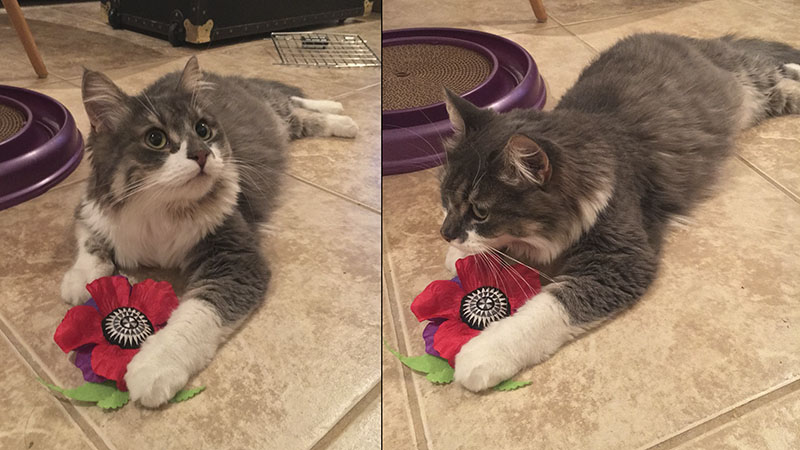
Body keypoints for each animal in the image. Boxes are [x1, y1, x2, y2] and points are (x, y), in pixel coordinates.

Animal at [61, 57, 360, 408]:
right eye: (155, 139)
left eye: (203, 130)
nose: (202, 154)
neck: (161, 209)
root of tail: (226, 77)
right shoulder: (89, 208)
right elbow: (91, 243)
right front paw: (80, 281)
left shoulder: (236, 261)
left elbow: (194, 317)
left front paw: (153, 365)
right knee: (297, 109)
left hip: (277, 110)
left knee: (296, 103)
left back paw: (344, 117)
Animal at [438, 32, 800, 390]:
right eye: (445, 197)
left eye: (480, 212)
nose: (444, 234)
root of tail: (689, 39)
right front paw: (460, 256)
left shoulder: (619, 260)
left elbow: (546, 312)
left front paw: (482, 353)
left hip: (750, 81)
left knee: (776, 70)